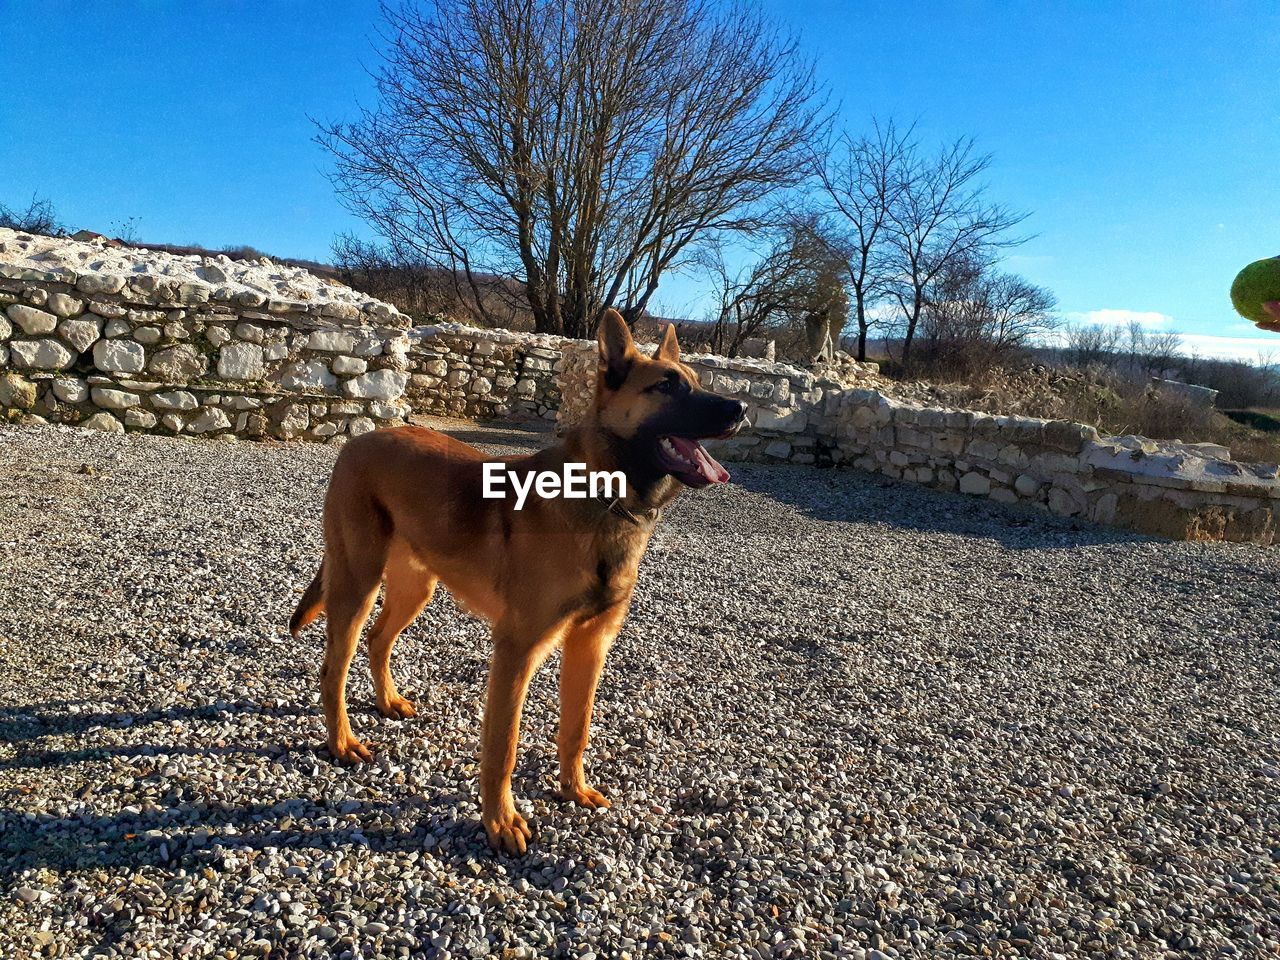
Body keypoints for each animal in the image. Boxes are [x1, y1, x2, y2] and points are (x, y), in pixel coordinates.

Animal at [288, 312, 747, 855]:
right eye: (667, 386)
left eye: (696, 381)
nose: (740, 408)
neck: (602, 494)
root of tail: (362, 438)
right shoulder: (517, 649)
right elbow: (503, 746)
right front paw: (499, 821)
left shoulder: (590, 644)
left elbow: (576, 729)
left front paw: (573, 789)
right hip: (357, 585)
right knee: (333, 669)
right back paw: (342, 741)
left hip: (414, 589)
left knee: (378, 641)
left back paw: (386, 702)